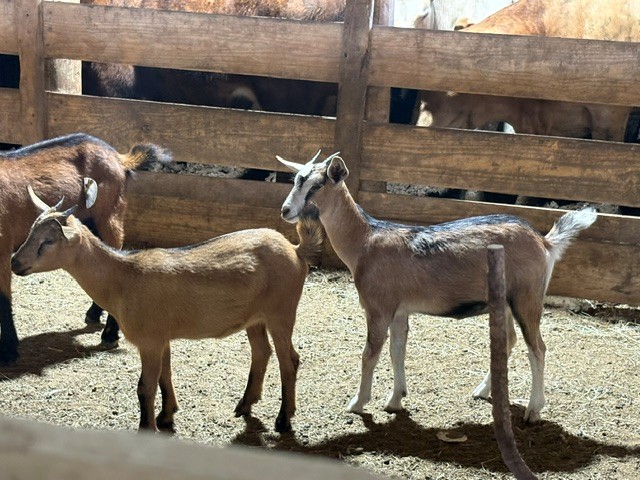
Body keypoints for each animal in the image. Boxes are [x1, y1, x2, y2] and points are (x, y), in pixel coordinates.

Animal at [0, 133, 171, 364]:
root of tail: (117, 157)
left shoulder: (2, 246)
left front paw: (9, 351)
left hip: (109, 218)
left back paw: (109, 334)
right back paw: (94, 314)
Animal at [11, 185, 324, 433]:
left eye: (48, 241)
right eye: (30, 232)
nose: (15, 263)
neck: (123, 277)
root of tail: (295, 250)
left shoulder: (149, 339)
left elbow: (145, 386)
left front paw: (147, 427)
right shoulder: (161, 337)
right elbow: (165, 375)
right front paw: (166, 416)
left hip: (281, 311)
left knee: (289, 360)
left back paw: (283, 420)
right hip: (255, 318)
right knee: (262, 353)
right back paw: (244, 405)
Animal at [277, 151, 597, 423]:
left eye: (317, 186)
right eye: (295, 180)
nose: (285, 210)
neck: (366, 242)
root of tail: (544, 241)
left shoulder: (378, 306)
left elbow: (370, 353)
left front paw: (357, 403)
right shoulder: (400, 310)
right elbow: (397, 350)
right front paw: (395, 399)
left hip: (527, 298)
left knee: (537, 348)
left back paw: (533, 410)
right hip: (505, 301)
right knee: (510, 341)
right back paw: (484, 391)